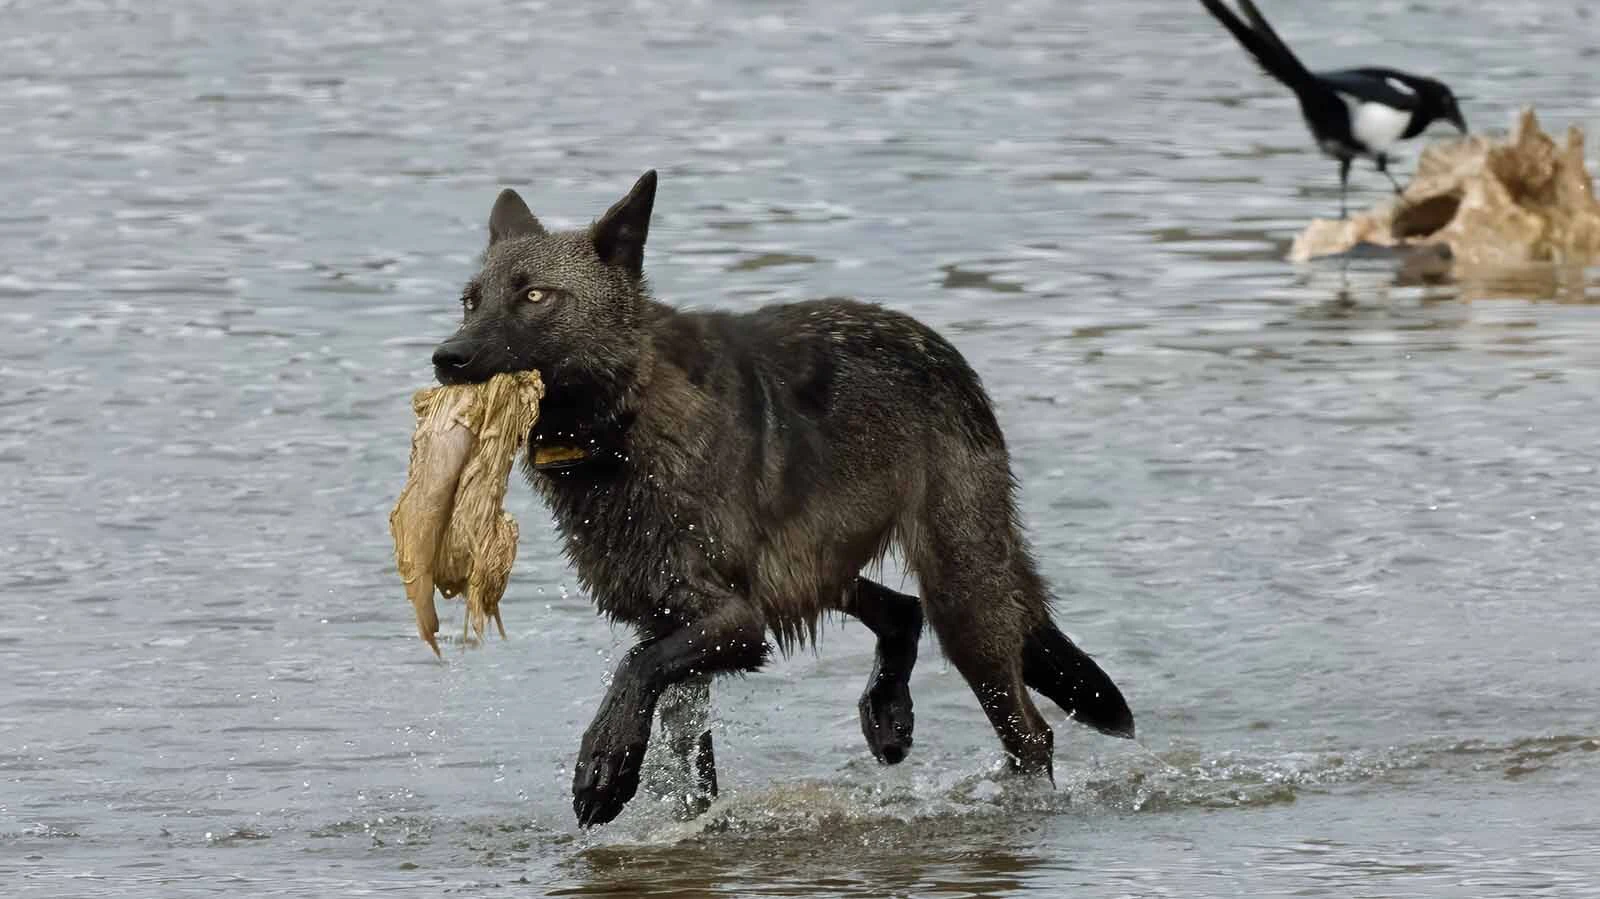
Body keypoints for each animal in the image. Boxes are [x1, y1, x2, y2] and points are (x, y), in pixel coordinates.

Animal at [430, 170, 1135, 828]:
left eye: (535, 296)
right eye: (470, 301)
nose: (446, 357)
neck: (625, 421)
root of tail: (945, 352)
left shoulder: (733, 622)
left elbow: (632, 669)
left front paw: (606, 763)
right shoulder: (674, 620)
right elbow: (690, 762)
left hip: (961, 599)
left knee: (1029, 731)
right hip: (818, 569)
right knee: (899, 610)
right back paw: (888, 712)